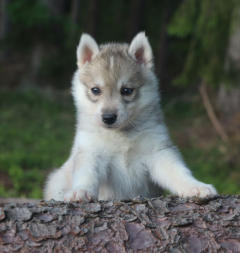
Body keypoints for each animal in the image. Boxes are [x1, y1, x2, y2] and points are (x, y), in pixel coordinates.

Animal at [43, 32, 218, 202]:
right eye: (95, 90)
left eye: (126, 90)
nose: (108, 117)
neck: (121, 135)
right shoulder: (90, 152)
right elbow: (86, 175)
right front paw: (80, 191)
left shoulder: (158, 152)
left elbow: (178, 172)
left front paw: (196, 187)